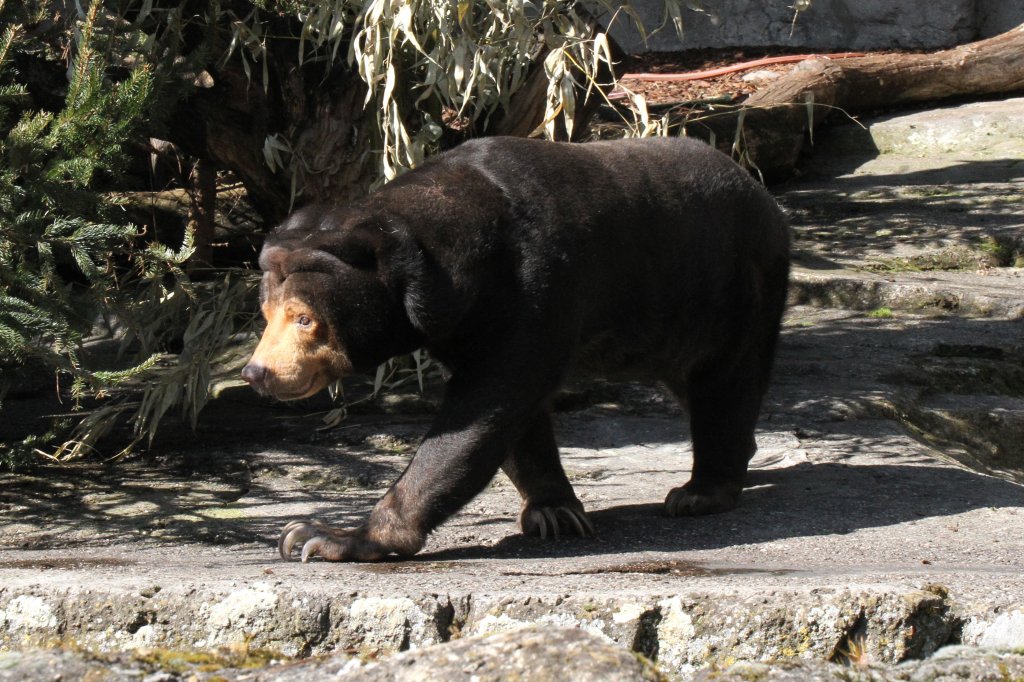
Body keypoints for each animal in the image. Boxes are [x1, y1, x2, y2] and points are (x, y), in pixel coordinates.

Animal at [241, 135, 790, 561]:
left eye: (304, 319)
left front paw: (323, 536)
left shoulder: (538, 288)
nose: (258, 373)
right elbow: (516, 418)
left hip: (733, 291)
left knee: (725, 381)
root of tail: (762, 193)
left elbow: (486, 408)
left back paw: (699, 492)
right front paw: (555, 512)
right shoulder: (462, 327)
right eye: (266, 315)